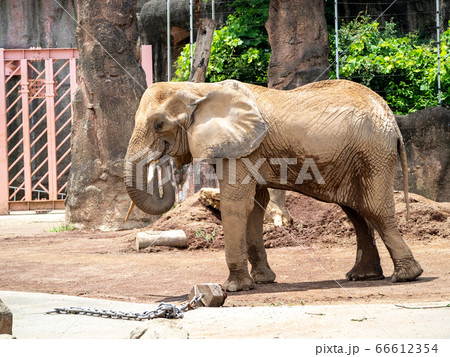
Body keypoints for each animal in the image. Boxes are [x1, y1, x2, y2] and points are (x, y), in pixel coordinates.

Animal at [125, 78, 424, 290]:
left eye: (159, 124)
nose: (162, 163)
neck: (198, 88)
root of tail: (392, 119)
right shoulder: (246, 149)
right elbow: (256, 205)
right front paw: (262, 281)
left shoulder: (242, 148)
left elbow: (236, 203)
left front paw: (233, 288)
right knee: (356, 211)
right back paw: (362, 276)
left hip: (374, 152)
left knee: (374, 208)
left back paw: (406, 276)